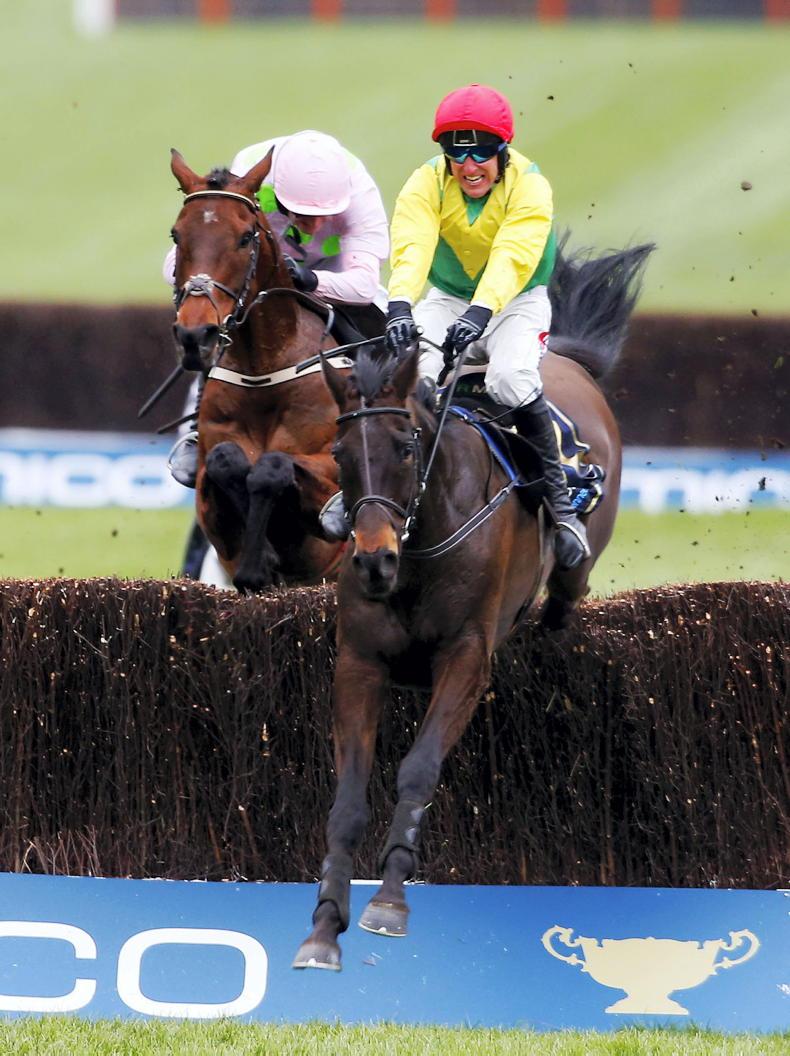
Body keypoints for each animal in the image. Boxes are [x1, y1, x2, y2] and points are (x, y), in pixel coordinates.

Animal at [169, 149, 354, 593]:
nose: (195, 334)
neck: (263, 371)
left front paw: (261, 558)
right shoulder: (206, 487)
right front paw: (259, 560)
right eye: (176, 235)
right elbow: (226, 460)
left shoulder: (331, 468)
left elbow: (274, 465)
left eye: (244, 237)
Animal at [292, 242, 653, 970]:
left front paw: (387, 902)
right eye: (340, 453)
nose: (372, 560)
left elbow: (418, 772)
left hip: (575, 562)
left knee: (565, 598)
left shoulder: (465, 656)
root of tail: (566, 359)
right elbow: (347, 798)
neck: (420, 549)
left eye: (405, 447)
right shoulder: (360, 661)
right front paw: (323, 926)